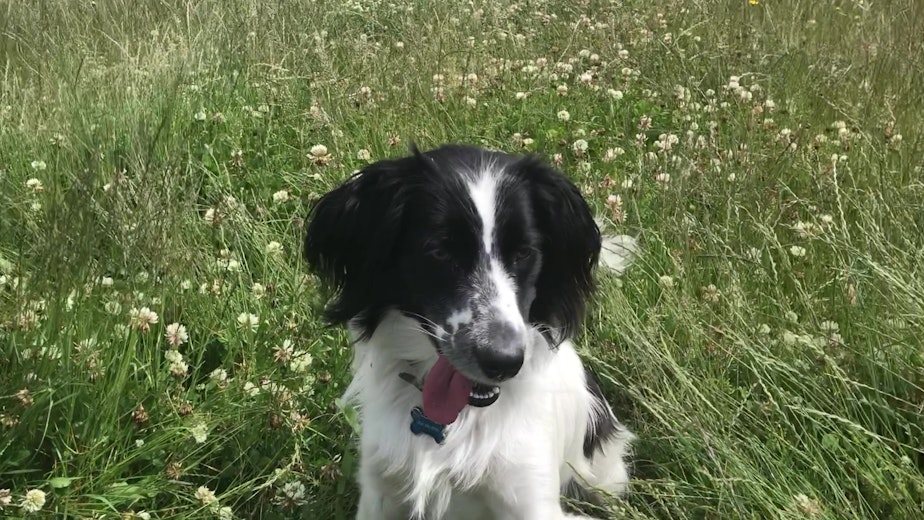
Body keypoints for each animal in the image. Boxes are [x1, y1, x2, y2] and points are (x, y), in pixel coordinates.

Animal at [304, 143, 636, 520]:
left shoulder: (530, 498)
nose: (504, 362)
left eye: (524, 252)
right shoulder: (381, 493)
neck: (456, 422)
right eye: (439, 251)